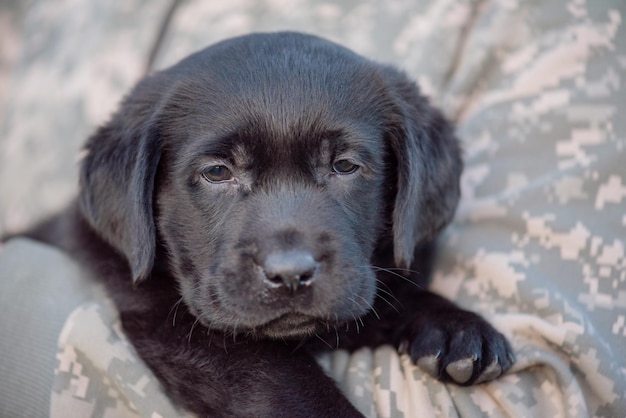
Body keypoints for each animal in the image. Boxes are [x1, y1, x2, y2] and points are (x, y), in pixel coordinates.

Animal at [23, 31, 512, 414]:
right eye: (217, 172)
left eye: (345, 166)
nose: (291, 274)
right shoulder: (170, 322)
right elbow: (281, 381)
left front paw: (457, 328)